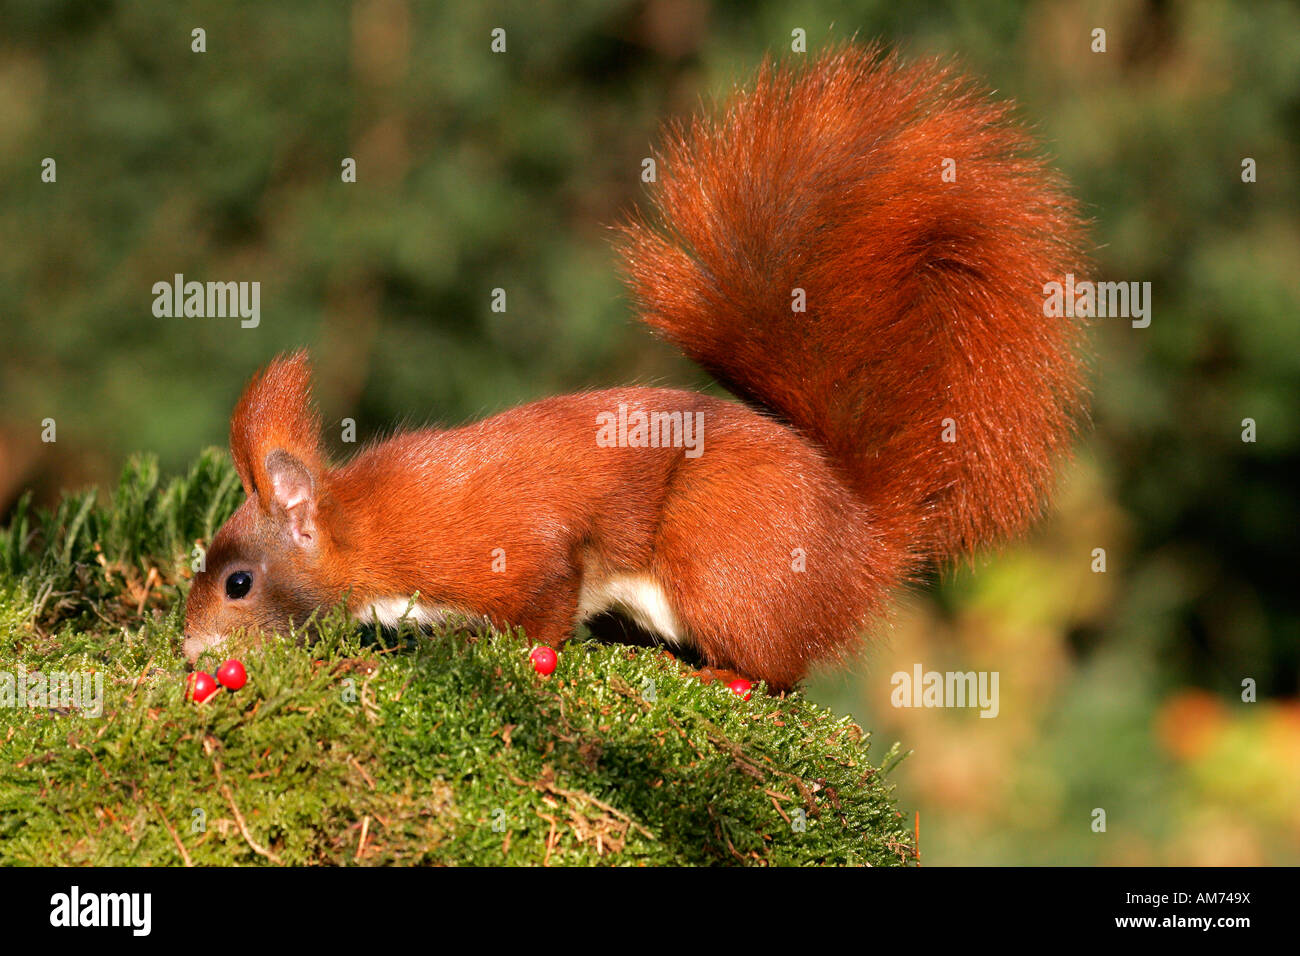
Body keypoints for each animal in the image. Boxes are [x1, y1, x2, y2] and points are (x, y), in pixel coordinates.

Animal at [180, 46, 1086, 686]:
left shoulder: (513, 548)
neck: (366, 523)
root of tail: (863, 541)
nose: (189, 650)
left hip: (723, 550)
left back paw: (727, 677)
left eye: (237, 585)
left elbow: (547, 600)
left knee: (782, 671)